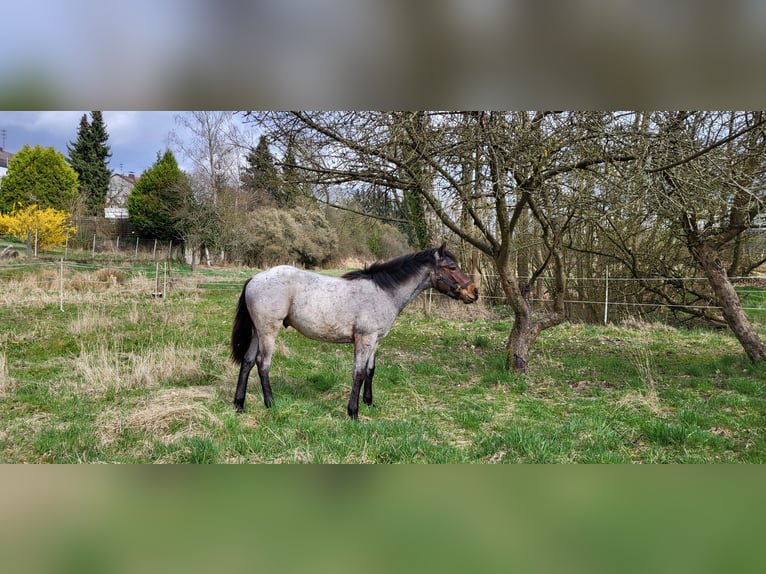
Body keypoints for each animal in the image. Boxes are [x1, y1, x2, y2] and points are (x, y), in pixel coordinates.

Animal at [230, 243, 479, 419]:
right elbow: (358, 373)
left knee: (248, 362)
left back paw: (239, 405)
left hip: (257, 332)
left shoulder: (375, 341)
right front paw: (353, 413)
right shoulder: (364, 339)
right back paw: (270, 404)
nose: (474, 292)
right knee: (262, 364)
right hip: (268, 332)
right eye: (452, 267)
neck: (383, 292)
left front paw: (369, 403)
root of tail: (255, 279)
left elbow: (370, 371)